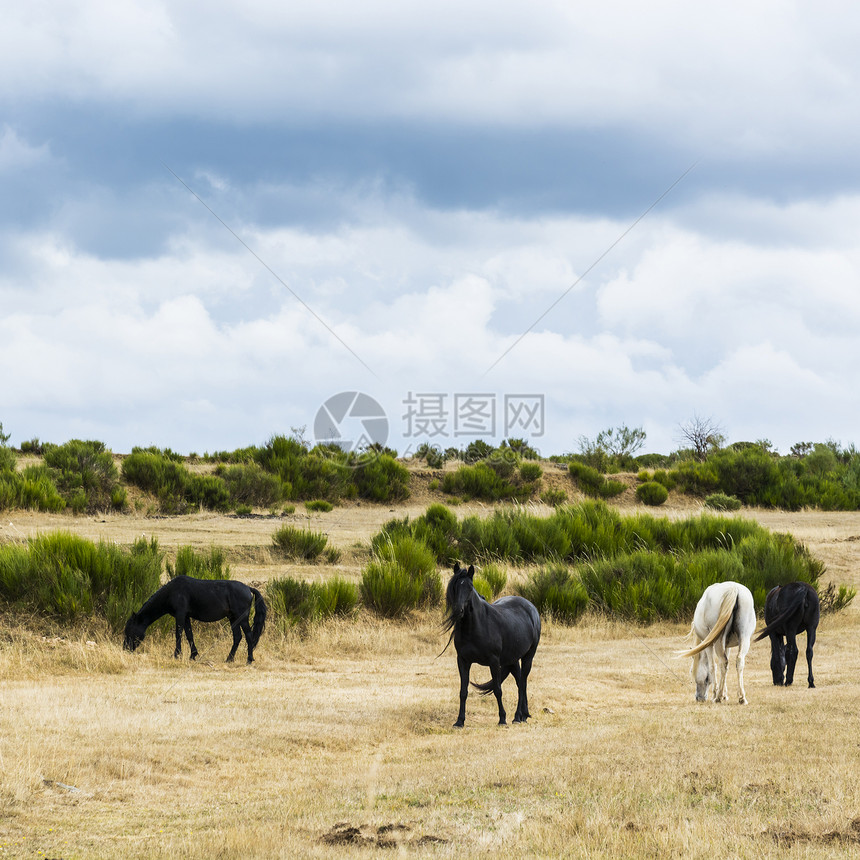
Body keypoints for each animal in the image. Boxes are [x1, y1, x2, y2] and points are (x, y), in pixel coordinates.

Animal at [122, 576, 266, 664]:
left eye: (129, 631)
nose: (125, 649)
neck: (172, 591)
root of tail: (248, 588)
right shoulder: (186, 617)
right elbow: (189, 635)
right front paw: (193, 655)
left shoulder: (180, 615)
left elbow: (178, 634)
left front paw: (176, 654)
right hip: (233, 618)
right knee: (237, 637)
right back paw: (229, 659)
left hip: (242, 618)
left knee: (248, 636)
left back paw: (249, 659)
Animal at [440, 560, 540, 728]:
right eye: (454, 587)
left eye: (469, 587)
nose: (458, 611)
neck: (477, 626)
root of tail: (531, 607)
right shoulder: (463, 661)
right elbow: (463, 692)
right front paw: (459, 721)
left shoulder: (494, 661)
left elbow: (498, 689)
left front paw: (502, 719)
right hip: (512, 660)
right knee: (520, 682)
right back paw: (522, 716)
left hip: (528, 656)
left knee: (523, 683)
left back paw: (517, 716)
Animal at [680, 576, 752, 704]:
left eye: (692, 672)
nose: (699, 698)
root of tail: (734, 589)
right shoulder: (727, 646)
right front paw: (725, 694)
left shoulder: (708, 645)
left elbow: (713, 667)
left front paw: (717, 693)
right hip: (744, 637)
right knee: (738, 661)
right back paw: (742, 698)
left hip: (718, 641)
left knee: (723, 662)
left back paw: (717, 698)